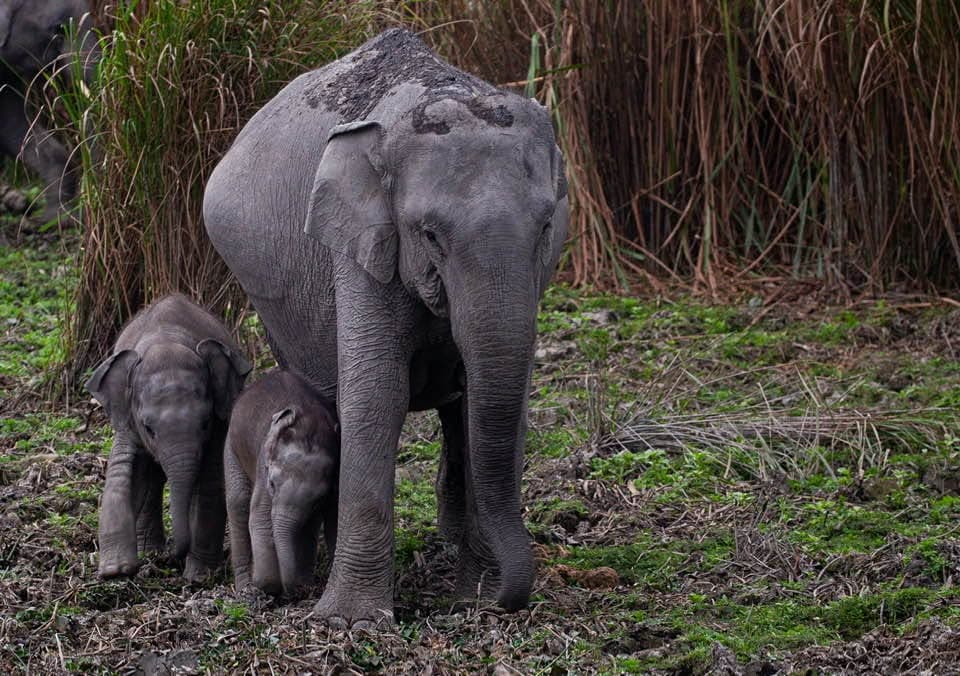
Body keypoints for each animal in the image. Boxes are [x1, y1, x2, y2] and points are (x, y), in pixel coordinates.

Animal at [86, 294, 252, 580]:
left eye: (205, 422)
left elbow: (210, 478)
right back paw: (150, 551)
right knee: (149, 479)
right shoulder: (126, 417)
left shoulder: (220, 419)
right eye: (148, 428)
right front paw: (115, 572)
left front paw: (198, 577)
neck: (166, 340)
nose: (171, 558)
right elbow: (120, 471)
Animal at [224, 369, 340, 599]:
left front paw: (301, 584)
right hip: (230, 447)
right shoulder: (263, 464)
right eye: (272, 484)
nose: (294, 592)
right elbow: (260, 518)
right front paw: (266, 585)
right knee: (238, 502)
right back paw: (244, 588)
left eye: (318, 500)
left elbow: (309, 525)